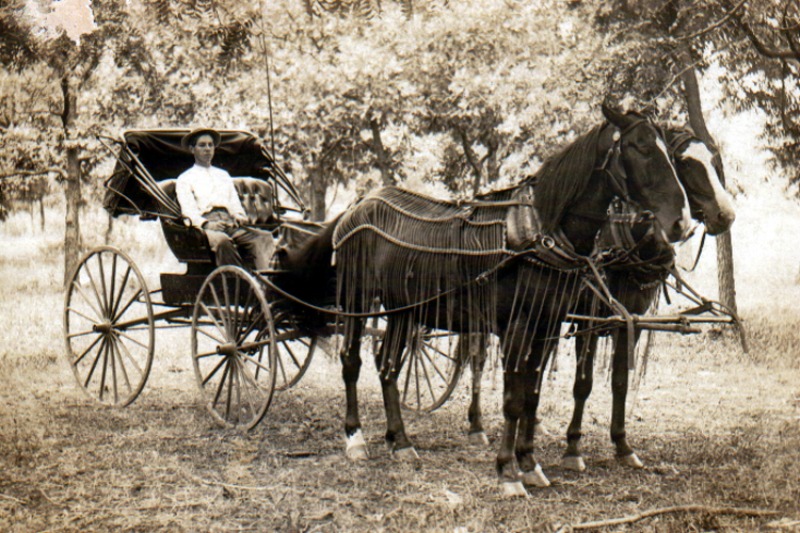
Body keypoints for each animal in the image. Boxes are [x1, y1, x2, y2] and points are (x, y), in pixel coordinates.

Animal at [319, 104, 692, 497]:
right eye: (641, 148)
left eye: (670, 154)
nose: (680, 223)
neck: (538, 233)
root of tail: (359, 203)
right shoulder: (519, 325)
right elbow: (513, 400)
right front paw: (508, 471)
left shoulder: (547, 326)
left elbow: (532, 394)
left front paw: (529, 463)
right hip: (358, 298)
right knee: (352, 361)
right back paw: (355, 438)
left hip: (403, 309)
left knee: (387, 364)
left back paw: (400, 440)